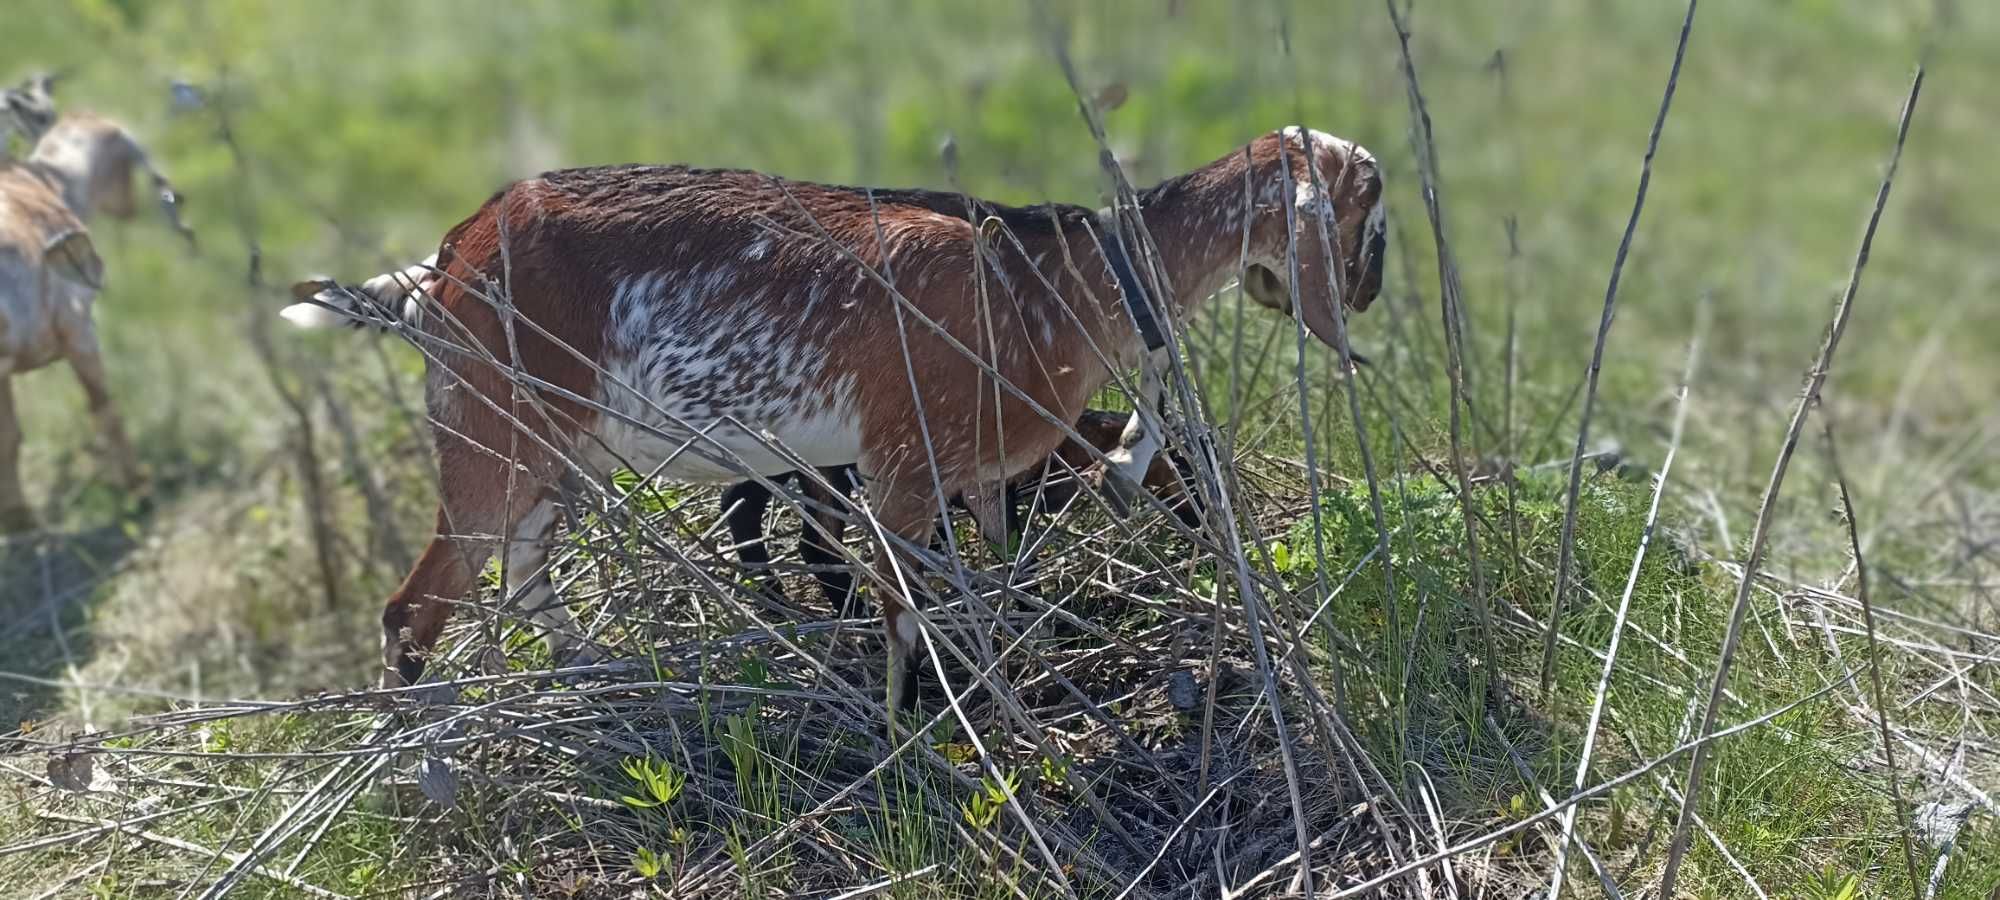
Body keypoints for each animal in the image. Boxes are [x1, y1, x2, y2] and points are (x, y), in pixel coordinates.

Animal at [290, 126, 1384, 708]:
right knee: (412, 610)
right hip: (491, 439)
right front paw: (924, 742)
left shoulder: (976, 478)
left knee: (524, 582)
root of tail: (447, 259)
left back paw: (601, 682)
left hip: (562, 459)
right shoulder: (901, 472)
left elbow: (989, 591)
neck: (1060, 276)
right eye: (1372, 216)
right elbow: (903, 617)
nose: (1368, 296)